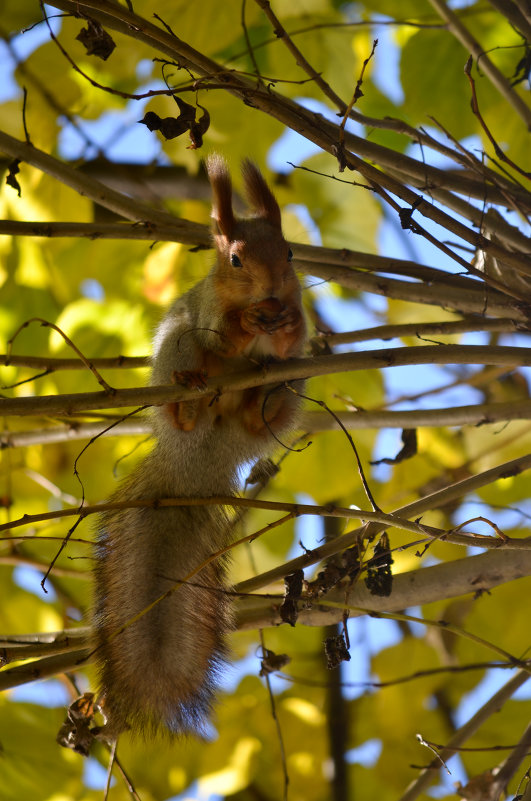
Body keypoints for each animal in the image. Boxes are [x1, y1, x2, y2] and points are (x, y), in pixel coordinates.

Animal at [93, 156, 306, 736]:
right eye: (234, 259)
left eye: (290, 252)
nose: (273, 290)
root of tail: (200, 456)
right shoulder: (208, 312)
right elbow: (221, 334)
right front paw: (248, 323)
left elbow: (293, 341)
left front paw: (287, 325)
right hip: (178, 350)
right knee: (190, 377)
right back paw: (189, 404)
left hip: (286, 395)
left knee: (266, 406)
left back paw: (261, 407)